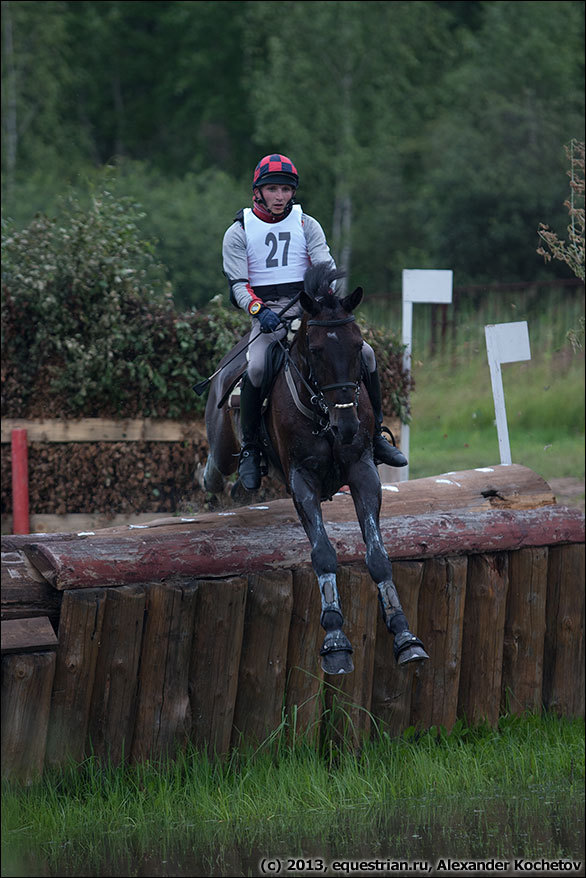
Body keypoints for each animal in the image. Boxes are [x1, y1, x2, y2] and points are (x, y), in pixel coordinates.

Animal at [203, 264, 426, 676]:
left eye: (357, 345)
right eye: (317, 350)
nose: (348, 427)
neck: (324, 413)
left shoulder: (363, 472)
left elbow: (378, 555)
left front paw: (405, 635)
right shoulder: (301, 481)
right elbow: (323, 553)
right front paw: (336, 641)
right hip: (224, 437)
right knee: (216, 464)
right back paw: (232, 472)